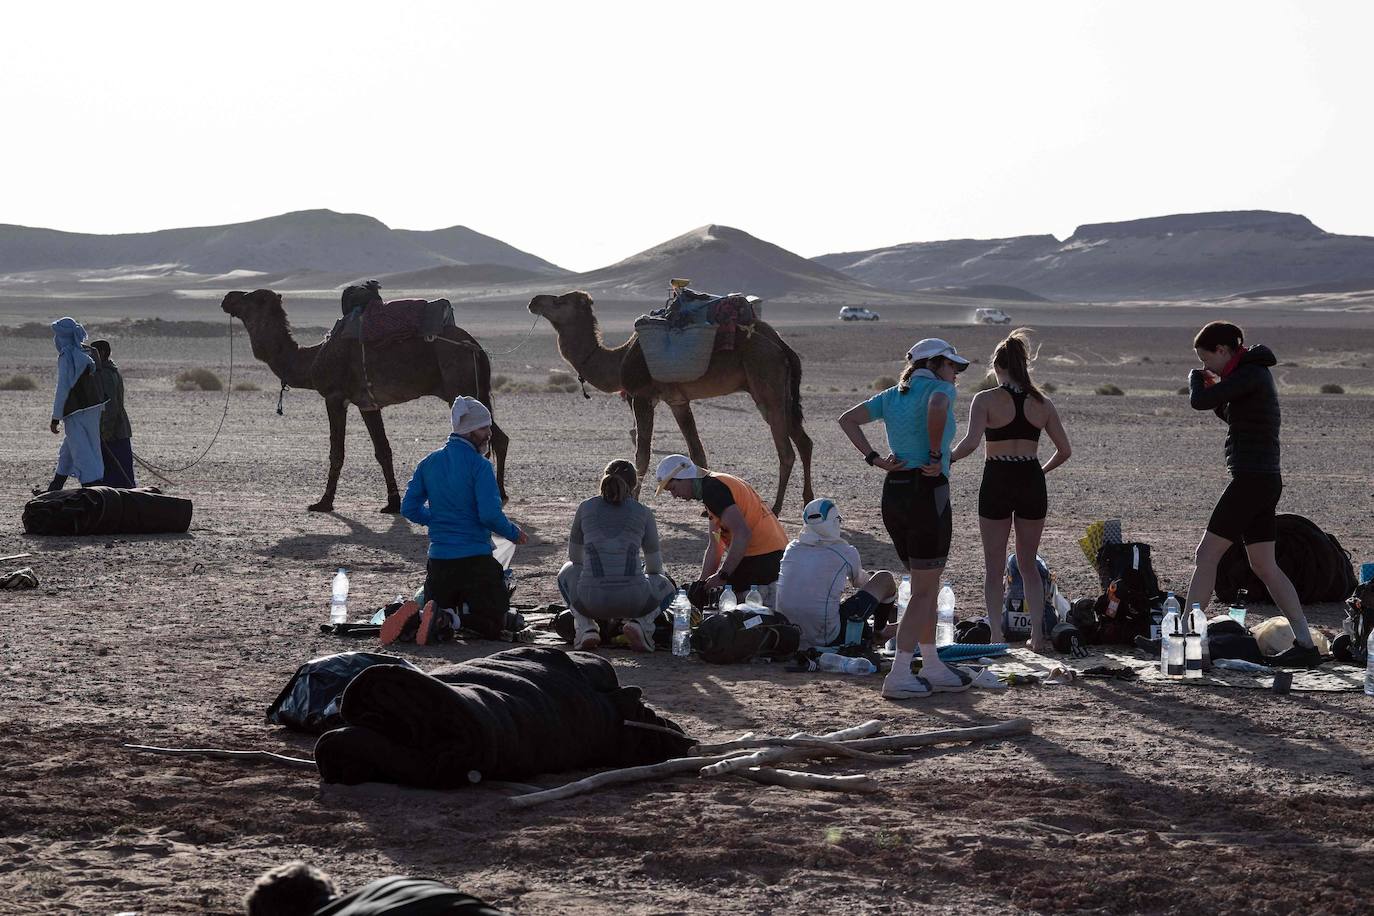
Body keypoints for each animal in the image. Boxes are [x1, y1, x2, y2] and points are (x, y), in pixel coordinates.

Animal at [522, 289, 802, 516]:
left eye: (560, 300)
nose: (534, 301)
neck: (619, 359)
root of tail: (780, 343)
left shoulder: (642, 397)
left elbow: (642, 455)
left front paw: (634, 500)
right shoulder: (678, 401)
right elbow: (697, 452)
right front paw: (704, 505)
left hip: (767, 385)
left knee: (786, 451)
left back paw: (777, 508)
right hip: (781, 390)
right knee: (802, 442)